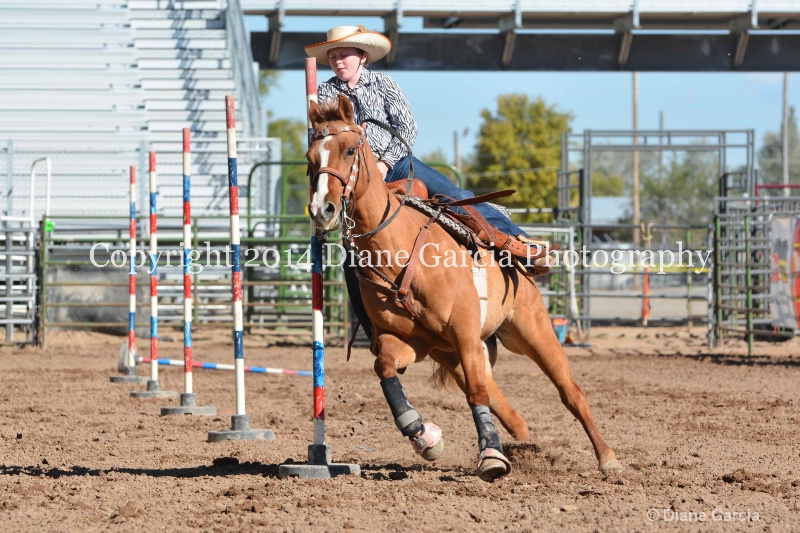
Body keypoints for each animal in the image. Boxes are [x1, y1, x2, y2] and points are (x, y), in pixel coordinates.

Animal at [304, 95, 620, 482]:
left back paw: (607, 458)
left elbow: (477, 395)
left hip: (532, 331)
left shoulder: (465, 334)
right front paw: (424, 436)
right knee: (504, 405)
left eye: (350, 149)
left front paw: (491, 458)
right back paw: (524, 445)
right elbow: (386, 368)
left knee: (569, 392)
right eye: (310, 159)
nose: (322, 209)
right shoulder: (411, 341)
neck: (400, 250)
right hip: (453, 354)